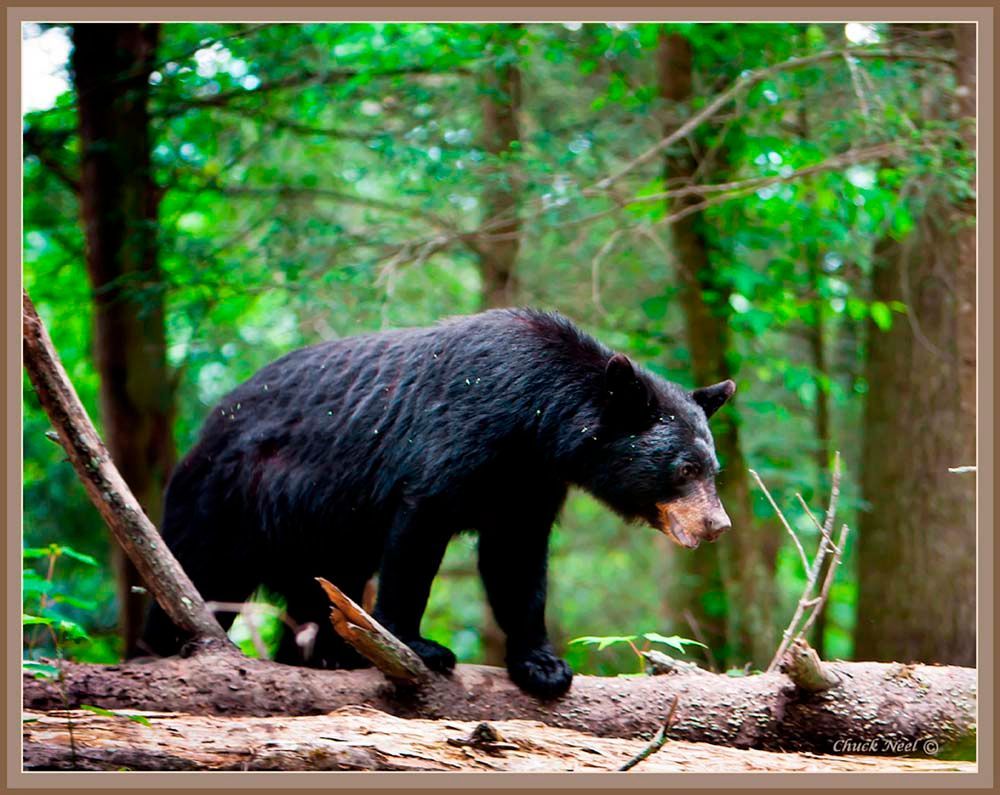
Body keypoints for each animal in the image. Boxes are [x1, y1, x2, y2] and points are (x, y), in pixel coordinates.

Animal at [141, 308, 734, 698]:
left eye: (714, 469)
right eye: (684, 468)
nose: (717, 525)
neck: (537, 421)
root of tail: (204, 431)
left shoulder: (529, 483)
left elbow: (516, 560)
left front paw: (542, 665)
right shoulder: (457, 441)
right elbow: (417, 539)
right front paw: (419, 647)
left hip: (318, 535)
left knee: (320, 594)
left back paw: (329, 656)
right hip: (228, 502)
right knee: (197, 574)